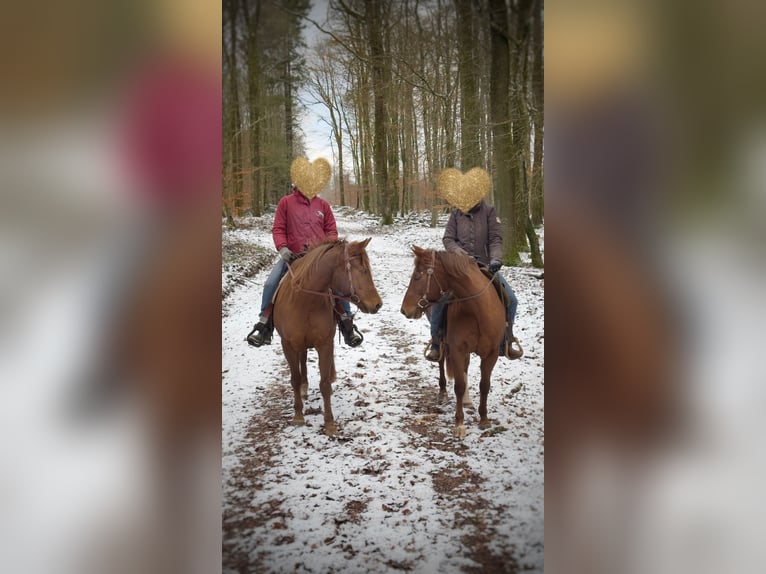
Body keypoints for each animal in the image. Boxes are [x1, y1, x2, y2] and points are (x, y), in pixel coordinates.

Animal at [273, 238, 382, 436]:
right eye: (362, 270)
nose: (377, 304)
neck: (305, 301)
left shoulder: (325, 344)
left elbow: (324, 384)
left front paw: (330, 423)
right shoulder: (288, 344)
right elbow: (294, 378)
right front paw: (298, 416)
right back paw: (303, 388)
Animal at [400, 246, 506, 439]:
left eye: (417, 276)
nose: (404, 309)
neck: (477, 311)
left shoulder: (491, 354)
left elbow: (484, 385)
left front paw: (484, 419)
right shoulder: (457, 350)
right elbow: (458, 385)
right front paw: (459, 424)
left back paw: (467, 400)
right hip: (442, 341)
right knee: (441, 360)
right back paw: (443, 393)